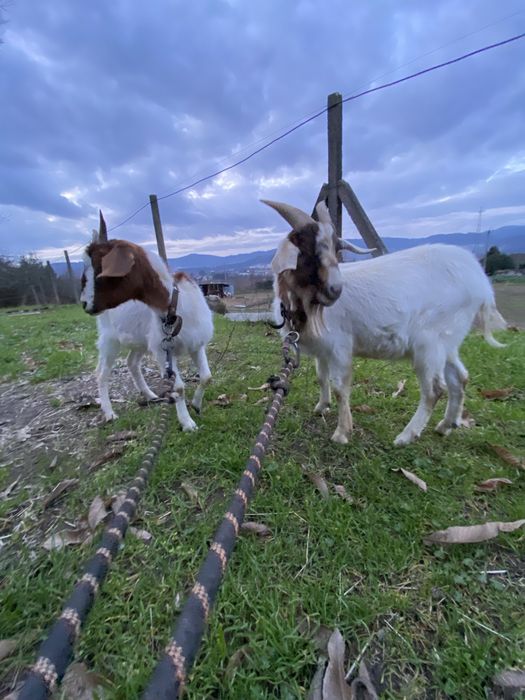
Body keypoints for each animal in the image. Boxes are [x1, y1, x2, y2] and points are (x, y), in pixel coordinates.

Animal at [80, 214, 213, 432]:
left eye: (100, 269)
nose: (84, 303)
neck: (174, 305)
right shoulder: (162, 350)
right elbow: (178, 387)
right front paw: (187, 423)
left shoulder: (197, 344)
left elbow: (206, 377)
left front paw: (196, 404)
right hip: (110, 339)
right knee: (102, 373)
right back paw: (109, 413)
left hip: (139, 340)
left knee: (132, 363)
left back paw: (150, 396)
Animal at [264, 199, 507, 446]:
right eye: (306, 248)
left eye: (335, 249)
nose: (336, 289)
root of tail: (481, 283)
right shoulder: (323, 349)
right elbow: (321, 378)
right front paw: (322, 406)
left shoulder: (340, 345)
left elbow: (340, 387)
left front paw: (342, 432)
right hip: (449, 339)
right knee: (459, 377)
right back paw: (446, 425)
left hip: (430, 342)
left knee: (435, 390)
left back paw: (406, 436)